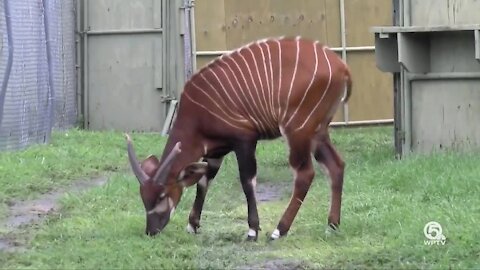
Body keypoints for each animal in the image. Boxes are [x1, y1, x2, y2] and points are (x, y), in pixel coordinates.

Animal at [125, 35, 352, 240]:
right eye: (143, 197)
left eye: (162, 195)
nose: (151, 231)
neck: (197, 114)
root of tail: (341, 67)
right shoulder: (215, 153)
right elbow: (204, 181)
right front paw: (192, 225)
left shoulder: (245, 140)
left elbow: (247, 181)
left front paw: (252, 230)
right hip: (318, 132)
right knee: (336, 165)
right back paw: (332, 225)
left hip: (298, 130)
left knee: (305, 173)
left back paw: (279, 230)